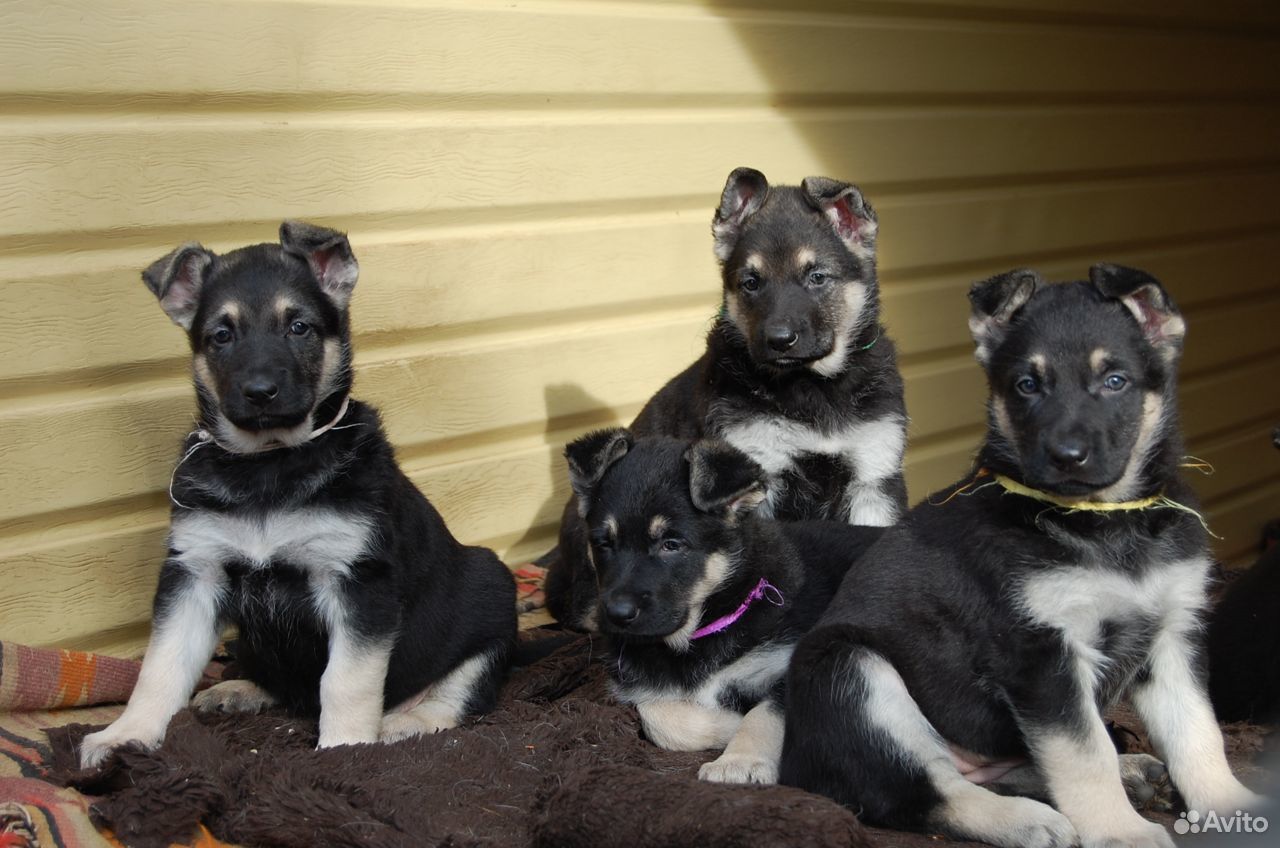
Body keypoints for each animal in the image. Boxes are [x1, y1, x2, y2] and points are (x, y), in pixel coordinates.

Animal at [80, 220, 514, 768]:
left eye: (299, 327)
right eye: (221, 335)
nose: (260, 392)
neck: (270, 464)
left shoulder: (357, 580)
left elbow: (345, 681)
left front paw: (345, 748)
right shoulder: (195, 571)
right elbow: (160, 666)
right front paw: (125, 735)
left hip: (489, 592)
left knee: (456, 692)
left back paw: (405, 723)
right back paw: (239, 689)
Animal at [550, 167, 911, 630]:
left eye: (817, 277)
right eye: (751, 283)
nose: (779, 340)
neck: (812, 388)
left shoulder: (872, 478)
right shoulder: (758, 477)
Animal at [565, 432, 885, 789]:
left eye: (671, 545)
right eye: (603, 544)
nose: (616, 615)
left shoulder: (793, 664)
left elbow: (764, 713)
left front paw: (739, 760)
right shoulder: (640, 690)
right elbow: (656, 716)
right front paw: (728, 724)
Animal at [778, 262, 1259, 845]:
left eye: (1115, 381)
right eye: (1027, 386)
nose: (1066, 456)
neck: (1104, 524)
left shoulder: (1171, 632)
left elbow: (1196, 732)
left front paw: (1232, 807)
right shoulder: (1040, 653)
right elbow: (1084, 752)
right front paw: (1122, 832)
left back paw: (1129, 774)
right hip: (849, 671)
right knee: (926, 793)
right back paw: (1028, 821)